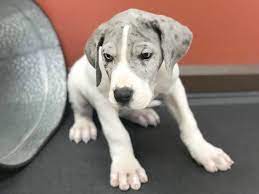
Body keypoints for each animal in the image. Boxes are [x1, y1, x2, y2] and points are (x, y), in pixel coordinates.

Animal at [68, 8, 235, 191]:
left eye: (145, 55)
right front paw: (127, 168)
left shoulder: (174, 88)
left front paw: (205, 151)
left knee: (125, 111)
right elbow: (118, 133)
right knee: (82, 109)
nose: (122, 95)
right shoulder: (104, 101)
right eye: (107, 56)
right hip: (75, 85)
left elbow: (188, 121)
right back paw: (83, 126)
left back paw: (142, 114)